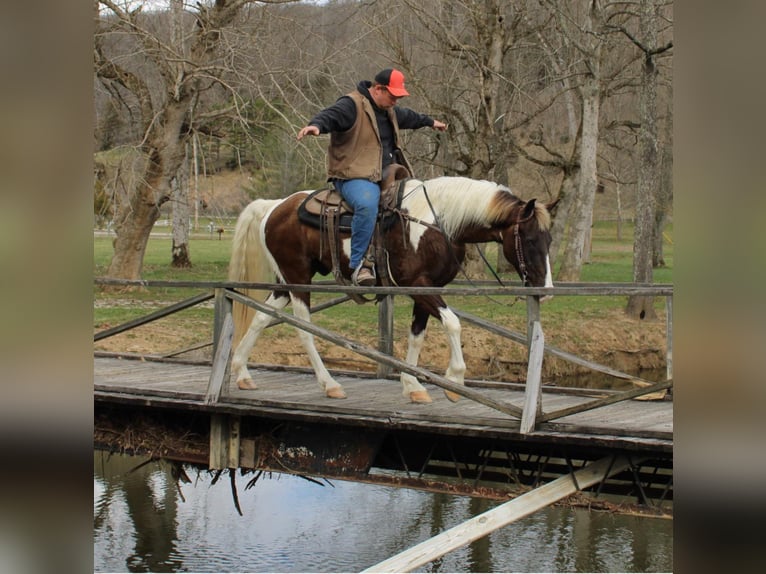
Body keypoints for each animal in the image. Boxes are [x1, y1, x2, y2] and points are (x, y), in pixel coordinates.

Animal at [228, 176, 560, 404]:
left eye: (550, 240)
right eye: (530, 239)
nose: (546, 290)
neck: (437, 223)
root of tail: (274, 206)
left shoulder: (427, 290)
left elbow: (417, 336)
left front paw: (413, 387)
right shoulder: (418, 285)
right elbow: (453, 323)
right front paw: (455, 381)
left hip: (285, 282)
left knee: (261, 317)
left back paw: (241, 372)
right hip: (298, 279)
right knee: (303, 327)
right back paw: (330, 384)